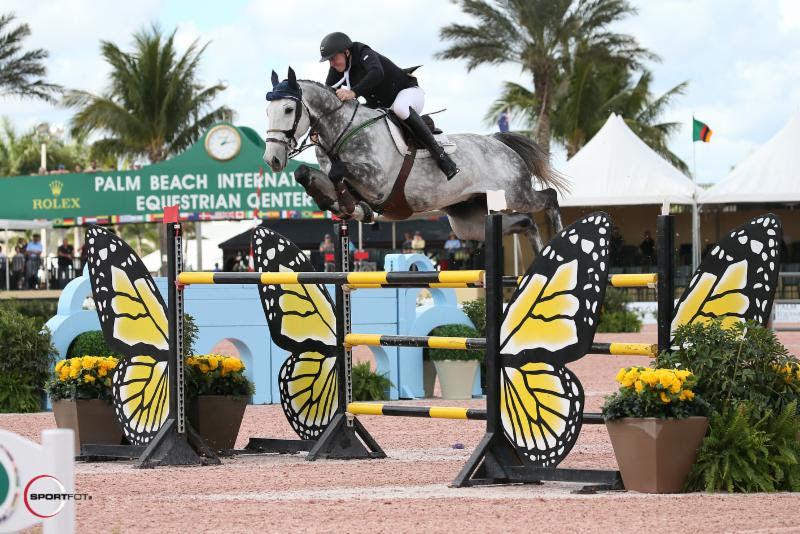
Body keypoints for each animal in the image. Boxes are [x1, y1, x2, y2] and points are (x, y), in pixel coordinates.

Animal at [260, 67, 564, 251]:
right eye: (267, 111)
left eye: (288, 109)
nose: (272, 159)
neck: (342, 128)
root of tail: (501, 144)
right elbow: (307, 174)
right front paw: (343, 205)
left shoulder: (377, 182)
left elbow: (339, 172)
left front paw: (351, 206)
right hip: (470, 221)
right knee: (525, 222)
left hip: (515, 194)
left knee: (549, 198)